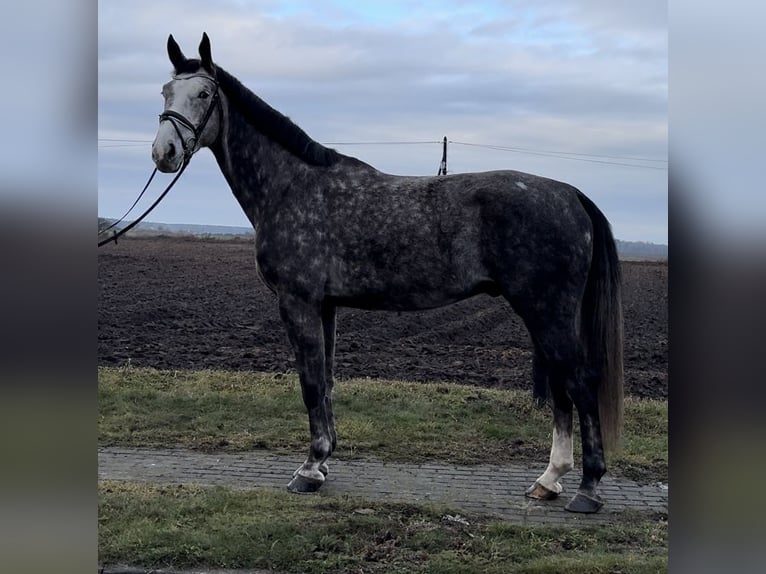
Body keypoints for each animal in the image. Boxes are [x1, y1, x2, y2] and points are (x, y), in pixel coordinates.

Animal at [150, 32, 624, 516]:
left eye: (203, 94)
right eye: (166, 92)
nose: (164, 153)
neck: (292, 187)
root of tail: (570, 194)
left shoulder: (298, 302)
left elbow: (310, 384)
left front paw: (308, 469)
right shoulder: (326, 307)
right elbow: (326, 382)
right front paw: (322, 463)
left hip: (546, 310)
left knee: (580, 383)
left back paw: (587, 489)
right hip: (542, 313)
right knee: (563, 388)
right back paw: (549, 480)